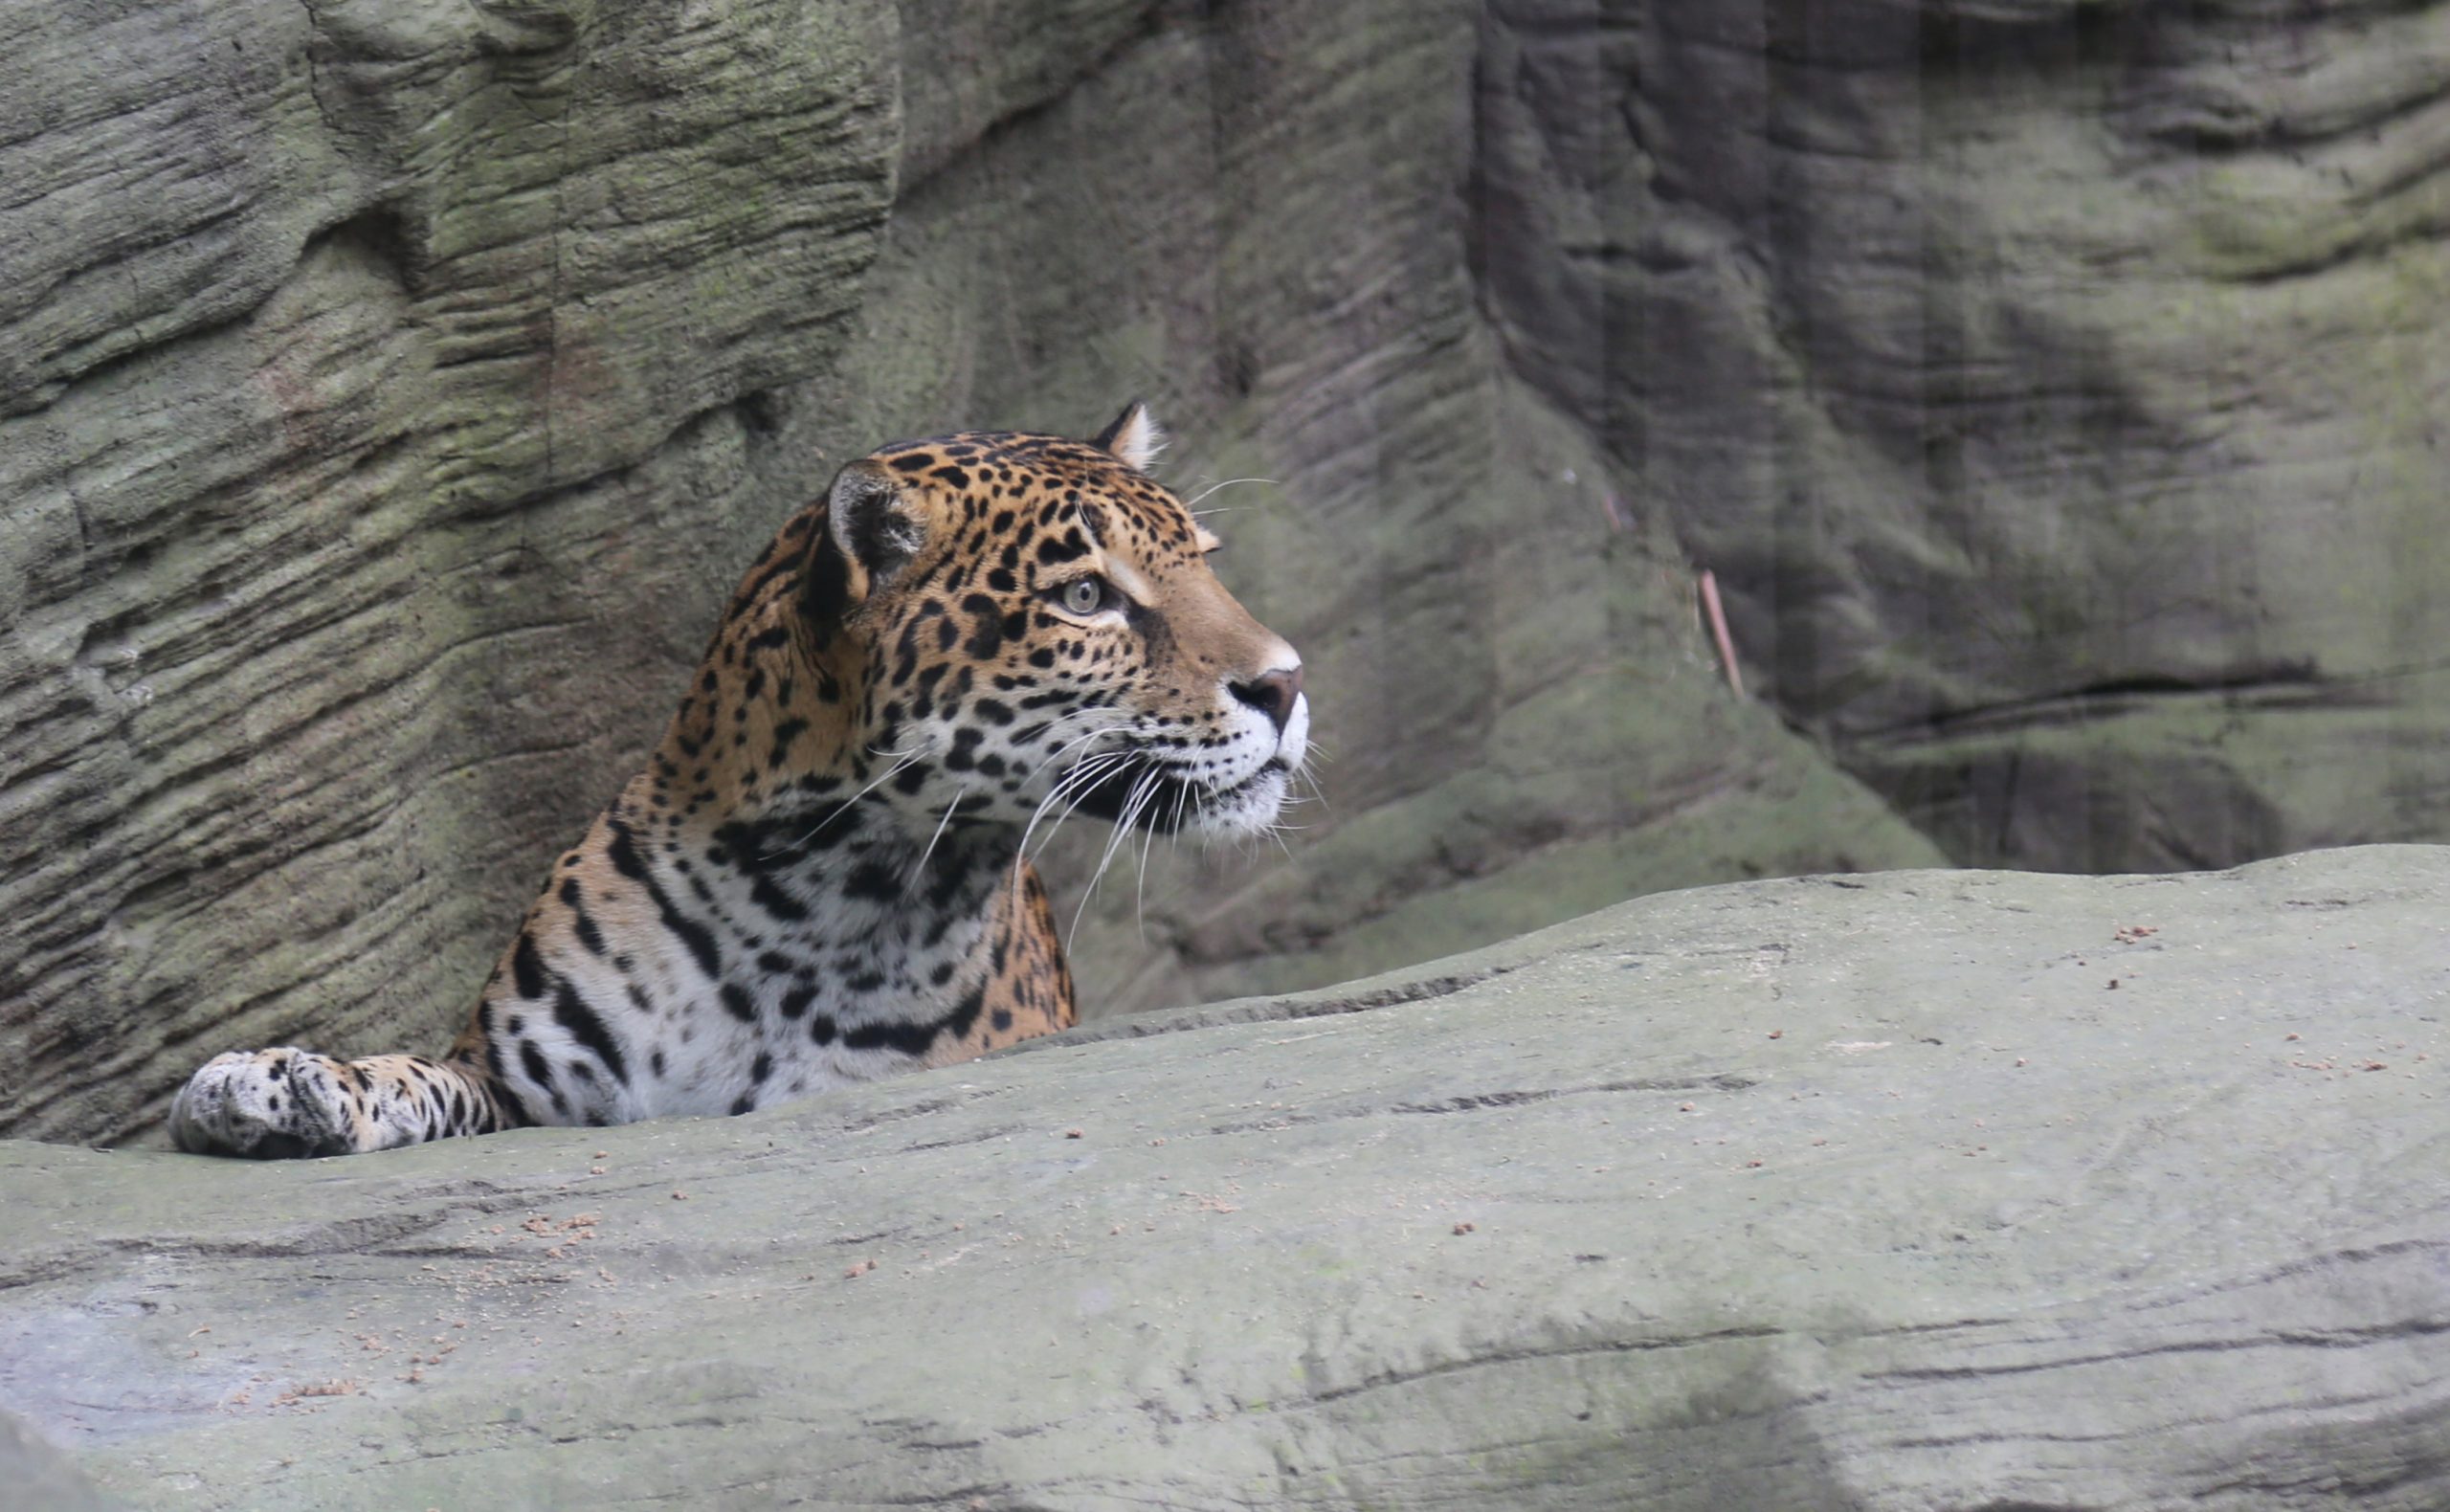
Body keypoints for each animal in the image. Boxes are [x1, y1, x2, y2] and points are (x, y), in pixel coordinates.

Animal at [168, 404, 1308, 1158]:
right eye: (1083, 597)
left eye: (1204, 561)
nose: (1287, 682)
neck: (813, 903)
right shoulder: (516, 1089)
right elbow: (415, 1073)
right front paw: (267, 1082)